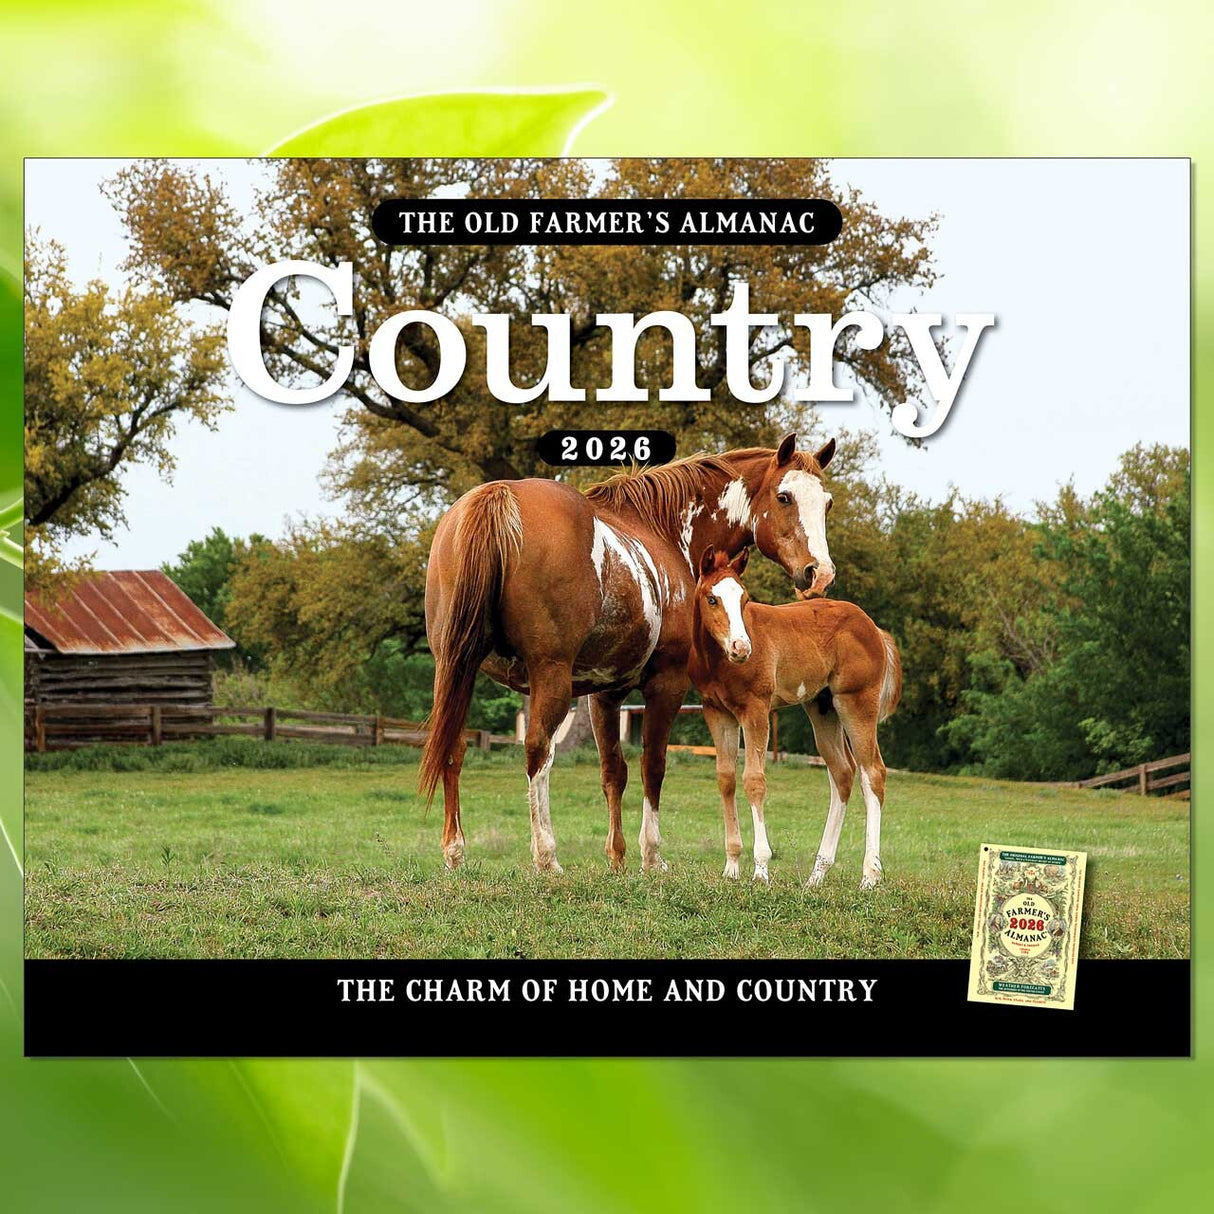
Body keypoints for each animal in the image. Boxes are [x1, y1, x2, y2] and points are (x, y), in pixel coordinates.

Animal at [420, 432, 840, 875]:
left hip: (455, 668)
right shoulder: (666, 683)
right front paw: (651, 855)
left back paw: (455, 851)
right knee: (537, 751)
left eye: (826, 502)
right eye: (784, 497)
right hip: (548, 675)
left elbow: (613, 771)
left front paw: (617, 858)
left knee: (454, 745)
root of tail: (497, 496)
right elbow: (652, 765)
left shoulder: (603, 694)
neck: (666, 531)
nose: (819, 573)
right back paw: (547, 856)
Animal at [687, 545, 902, 888]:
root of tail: (873, 628)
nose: (741, 647)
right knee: (843, 773)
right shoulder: (717, 712)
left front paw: (761, 870)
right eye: (712, 599)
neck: (718, 662)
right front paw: (731, 867)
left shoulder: (756, 709)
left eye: (744, 599)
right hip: (822, 708)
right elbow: (726, 779)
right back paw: (817, 875)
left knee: (873, 773)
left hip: (856, 703)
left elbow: (754, 780)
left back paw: (870, 876)